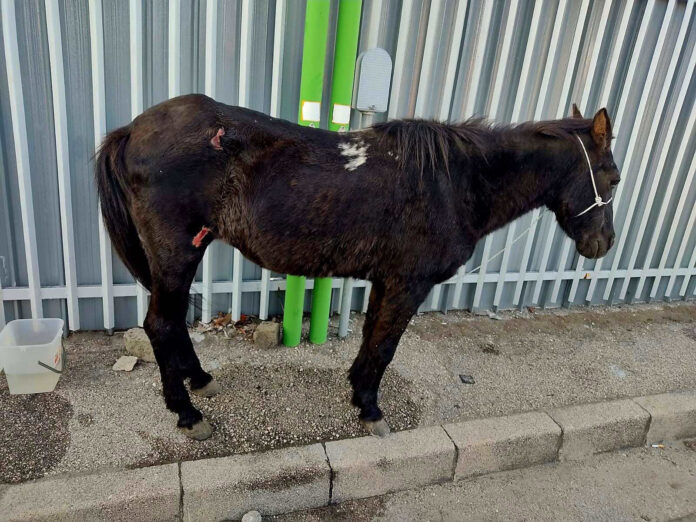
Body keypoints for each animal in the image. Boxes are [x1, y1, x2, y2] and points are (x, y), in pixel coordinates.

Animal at [95, 94, 618, 440]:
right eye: (612, 176)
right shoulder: (408, 283)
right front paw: (370, 408)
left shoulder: (387, 281)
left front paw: (357, 390)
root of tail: (133, 130)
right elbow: (385, 346)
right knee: (161, 324)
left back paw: (200, 380)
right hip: (177, 252)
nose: (604, 243)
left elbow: (371, 340)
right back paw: (186, 412)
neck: (455, 181)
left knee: (172, 323)